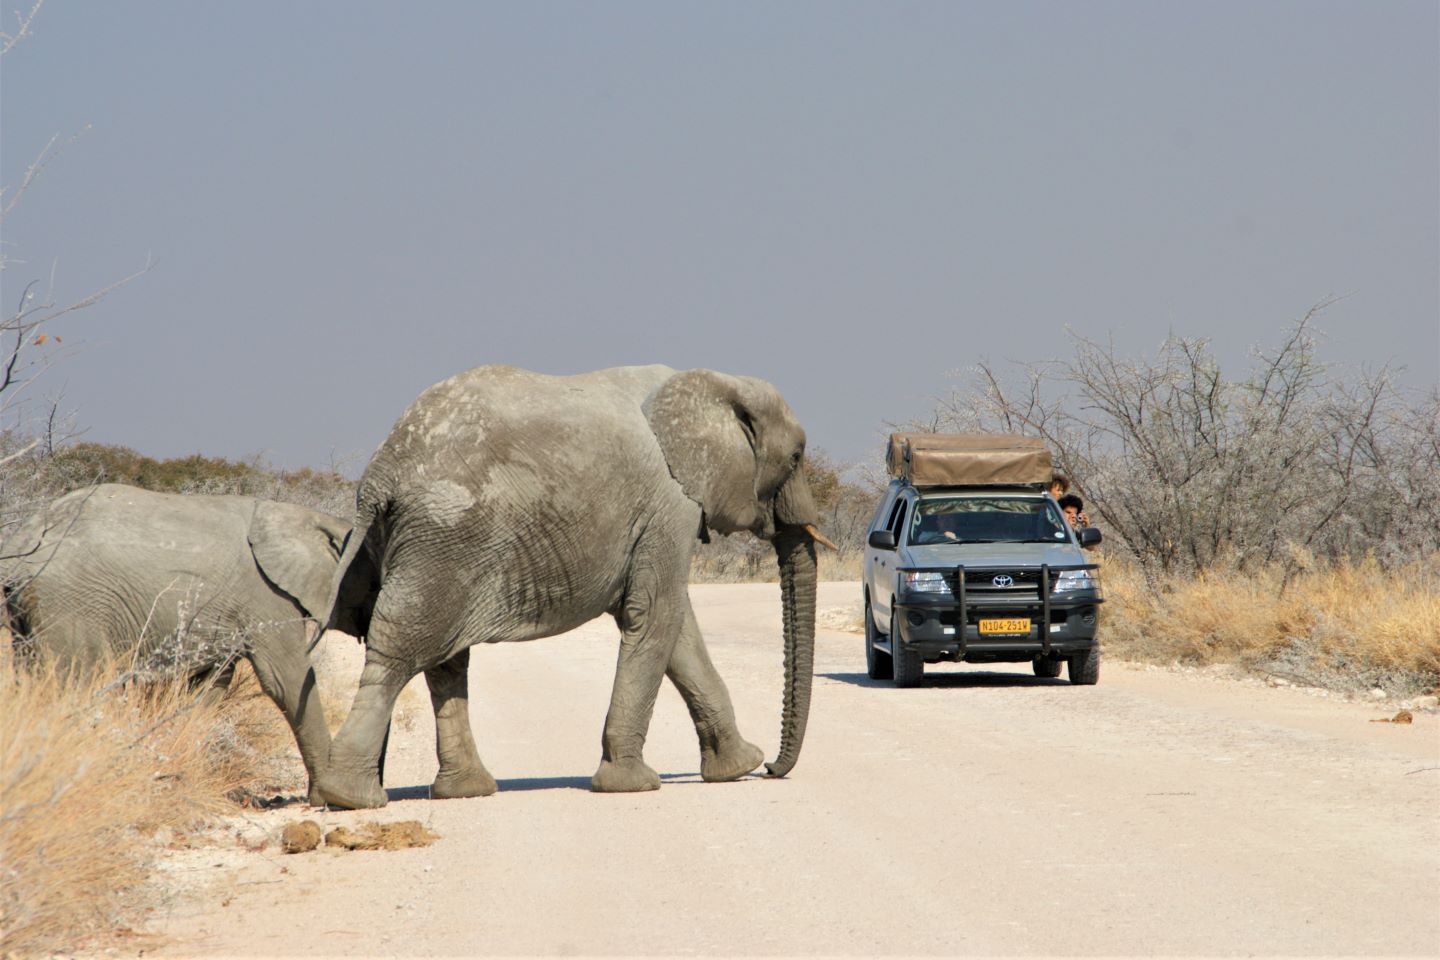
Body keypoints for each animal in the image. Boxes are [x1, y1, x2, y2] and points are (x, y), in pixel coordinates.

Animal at [1, 483, 371, 805]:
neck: (304, 518)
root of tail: (19, 545)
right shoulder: (266, 596)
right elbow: (287, 681)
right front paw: (337, 799)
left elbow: (207, 689)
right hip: (70, 605)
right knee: (80, 685)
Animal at [319, 365, 829, 811]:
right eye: (796, 458)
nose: (774, 769)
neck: (719, 381)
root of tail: (381, 474)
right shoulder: (670, 503)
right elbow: (656, 615)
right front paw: (633, 784)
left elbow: (678, 630)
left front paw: (738, 767)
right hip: (445, 535)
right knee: (401, 650)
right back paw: (351, 796)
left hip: (423, 542)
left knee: (445, 660)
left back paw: (463, 791)